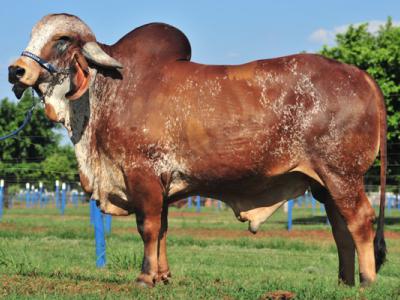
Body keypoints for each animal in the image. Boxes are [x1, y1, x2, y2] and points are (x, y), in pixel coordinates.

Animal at [7, 13, 388, 286]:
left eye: (61, 41)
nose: (16, 70)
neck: (107, 93)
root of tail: (361, 75)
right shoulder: (161, 184)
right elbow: (162, 228)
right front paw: (162, 276)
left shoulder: (142, 175)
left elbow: (147, 227)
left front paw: (145, 277)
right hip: (325, 184)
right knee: (340, 227)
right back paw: (344, 282)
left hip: (342, 175)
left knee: (360, 220)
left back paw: (367, 281)